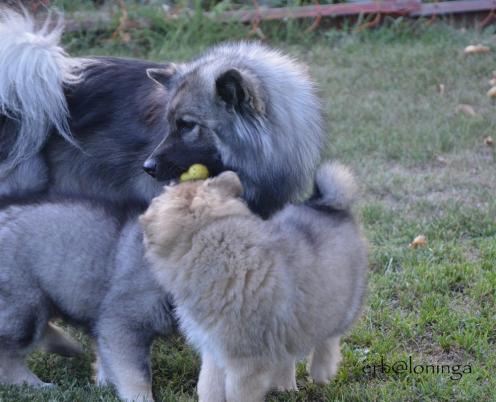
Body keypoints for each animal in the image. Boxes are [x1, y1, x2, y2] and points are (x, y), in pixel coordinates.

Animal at [0, 201, 176, 402]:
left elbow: (108, 358)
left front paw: (104, 385)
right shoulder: (126, 322)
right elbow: (137, 372)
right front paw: (140, 397)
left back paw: (66, 345)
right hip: (24, 301)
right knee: (8, 353)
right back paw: (36, 385)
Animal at [141, 163, 366, 402]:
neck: (206, 235)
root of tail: (324, 203)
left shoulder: (245, 364)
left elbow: (236, 394)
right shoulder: (214, 350)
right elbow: (209, 385)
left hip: (342, 303)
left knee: (330, 338)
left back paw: (321, 372)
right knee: (290, 352)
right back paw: (286, 385)